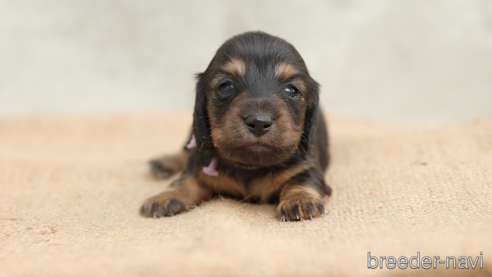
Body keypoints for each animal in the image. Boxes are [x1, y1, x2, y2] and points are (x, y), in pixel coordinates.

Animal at [138, 30, 330, 220]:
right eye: (225, 86)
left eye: (292, 90)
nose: (259, 122)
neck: (250, 165)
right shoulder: (200, 167)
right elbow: (185, 181)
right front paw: (165, 196)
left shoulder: (307, 166)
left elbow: (302, 180)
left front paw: (300, 199)